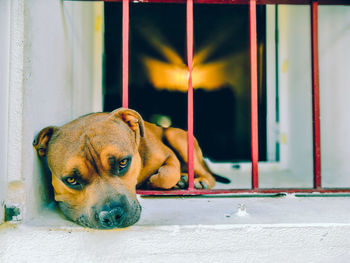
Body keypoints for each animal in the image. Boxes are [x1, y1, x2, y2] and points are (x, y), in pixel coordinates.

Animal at [33, 108, 230, 230]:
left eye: (123, 163)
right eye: (71, 180)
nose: (112, 215)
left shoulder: (167, 154)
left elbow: (167, 174)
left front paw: (154, 181)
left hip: (177, 136)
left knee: (208, 174)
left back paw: (197, 181)